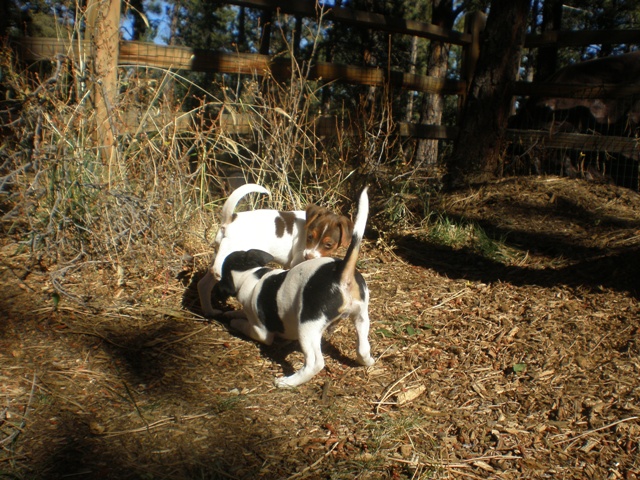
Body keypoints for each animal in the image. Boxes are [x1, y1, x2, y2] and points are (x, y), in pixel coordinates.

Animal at [198, 185, 352, 318]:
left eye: (328, 245)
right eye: (310, 237)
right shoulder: (297, 261)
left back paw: (209, 311)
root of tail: (230, 219)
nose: (308, 256)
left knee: (203, 285)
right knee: (217, 268)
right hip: (231, 250)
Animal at [219, 188, 376, 390]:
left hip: (307, 326)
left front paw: (234, 322)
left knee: (315, 363)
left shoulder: (261, 332)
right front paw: (231, 313)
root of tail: (342, 273)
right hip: (361, 316)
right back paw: (367, 361)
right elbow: (239, 312)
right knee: (363, 348)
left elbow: (246, 325)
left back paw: (288, 382)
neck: (249, 273)